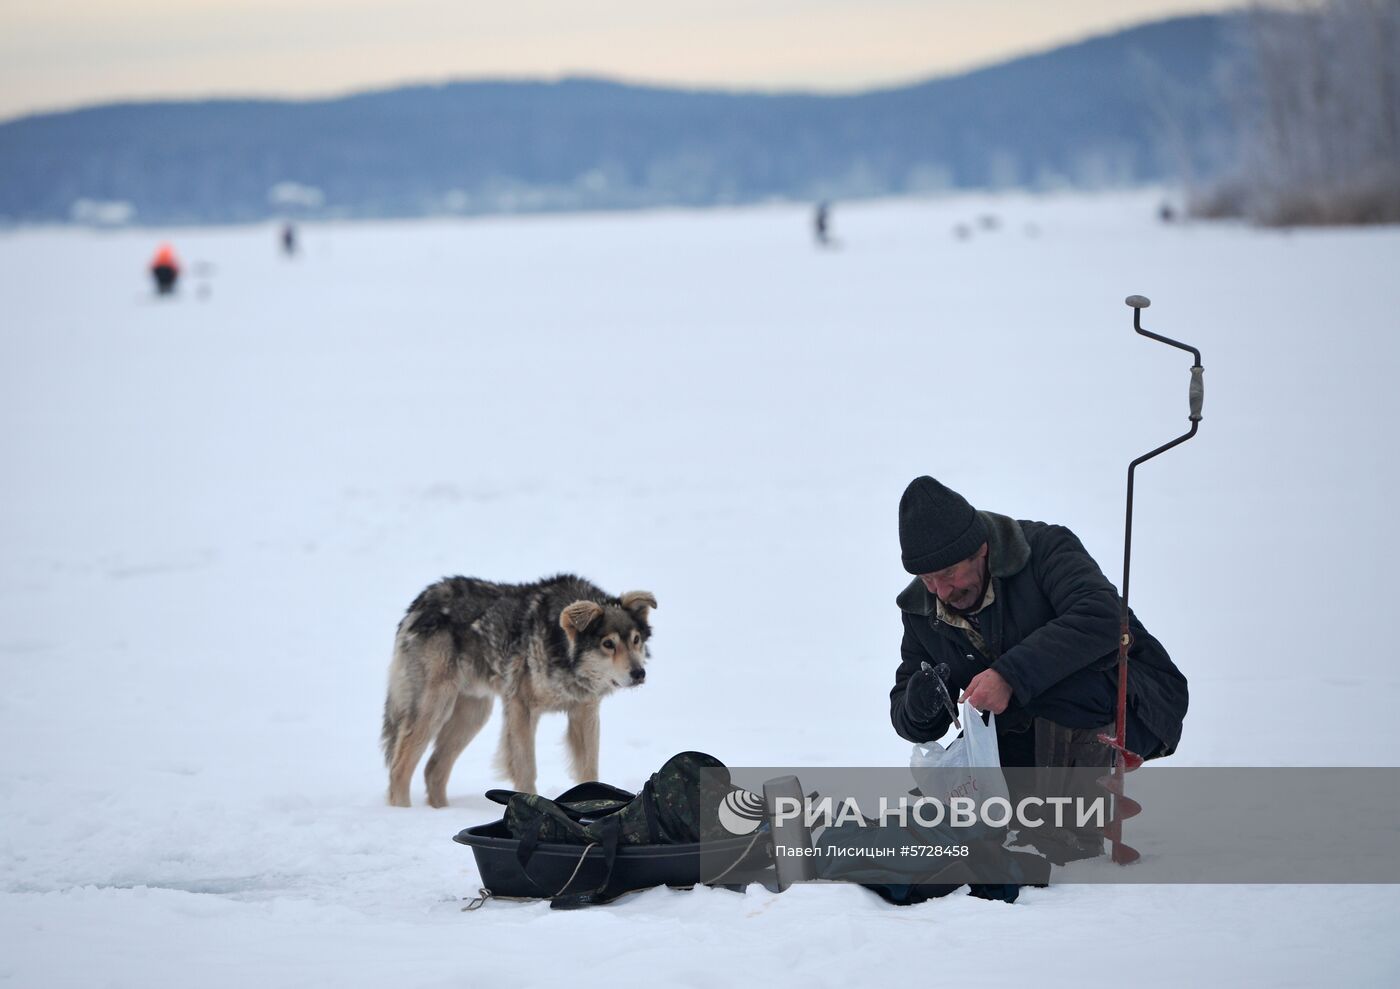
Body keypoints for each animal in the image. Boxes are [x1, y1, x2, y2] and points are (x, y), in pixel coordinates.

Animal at [380, 574, 658, 806]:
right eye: (608, 644)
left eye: (636, 640)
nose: (639, 674)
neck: (559, 646)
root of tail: (421, 601)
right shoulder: (521, 707)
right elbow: (526, 769)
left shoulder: (584, 711)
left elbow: (589, 770)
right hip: (436, 708)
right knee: (399, 767)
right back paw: (404, 812)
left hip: (473, 714)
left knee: (432, 769)